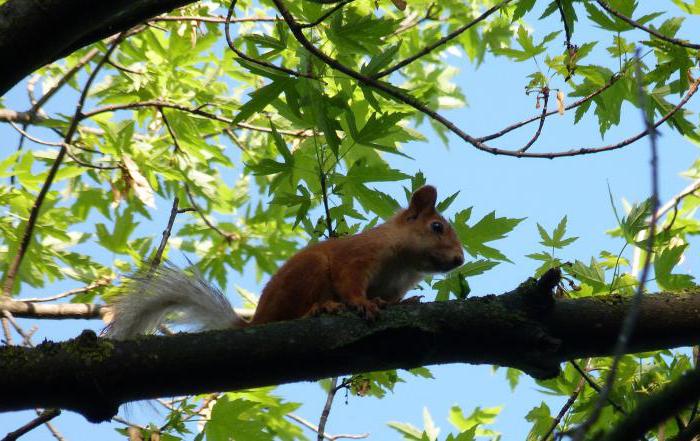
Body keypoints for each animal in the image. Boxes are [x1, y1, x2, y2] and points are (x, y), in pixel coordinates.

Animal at [105, 184, 464, 338]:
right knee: (293, 314)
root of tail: (257, 321)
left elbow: (393, 297)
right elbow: (350, 282)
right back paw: (321, 308)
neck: (405, 263)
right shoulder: (357, 256)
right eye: (437, 227)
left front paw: (408, 301)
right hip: (308, 274)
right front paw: (363, 303)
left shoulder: (397, 284)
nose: (460, 259)